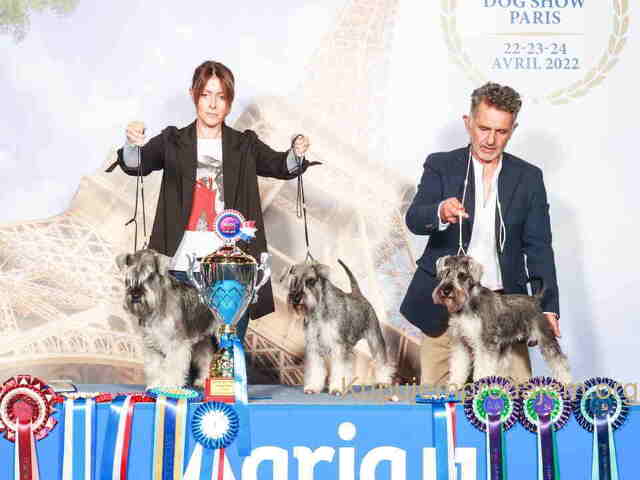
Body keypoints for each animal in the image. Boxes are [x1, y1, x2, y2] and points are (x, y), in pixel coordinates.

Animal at [116, 249, 219, 388]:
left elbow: (173, 366)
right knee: (206, 359)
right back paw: (203, 381)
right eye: (128, 277)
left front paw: (170, 386)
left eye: (150, 276)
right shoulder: (152, 344)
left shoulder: (176, 344)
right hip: (203, 341)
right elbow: (154, 367)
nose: (135, 295)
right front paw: (155, 385)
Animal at [281, 259, 394, 395]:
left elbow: (340, 368)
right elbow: (315, 369)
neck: (318, 310)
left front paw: (337, 388)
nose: (296, 298)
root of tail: (358, 294)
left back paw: (382, 381)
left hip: (374, 338)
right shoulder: (313, 346)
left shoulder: (339, 346)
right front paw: (313, 387)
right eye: (294, 280)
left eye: (311, 281)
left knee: (381, 360)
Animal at [433, 255, 571, 386]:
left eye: (462, 275)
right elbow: (458, 363)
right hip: (504, 344)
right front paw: (454, 383)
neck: (467, 304)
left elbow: (483, 366)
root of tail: (534, 299)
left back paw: (566, 381)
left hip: (544, 337)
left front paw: (481, 382)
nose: (446, 290)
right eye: (445, 272)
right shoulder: (460, 341)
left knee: (559, 359)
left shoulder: (484, 343)